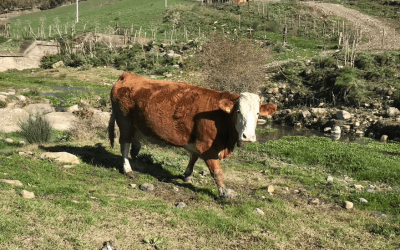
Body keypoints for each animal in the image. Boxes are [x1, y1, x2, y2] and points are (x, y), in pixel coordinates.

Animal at [108, 71, 276, 198]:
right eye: (238, 111)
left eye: (258, 113)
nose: (248, 137)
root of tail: (127, 75)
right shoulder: (208, 147)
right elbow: (217, 172)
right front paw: (223, 192)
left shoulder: (198, 141)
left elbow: (194, 157)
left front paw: (188, 175)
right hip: (125, 123)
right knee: (124, 145)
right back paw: (128, 169)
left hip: (137, 126)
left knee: (135, 144)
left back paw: (135, 162)